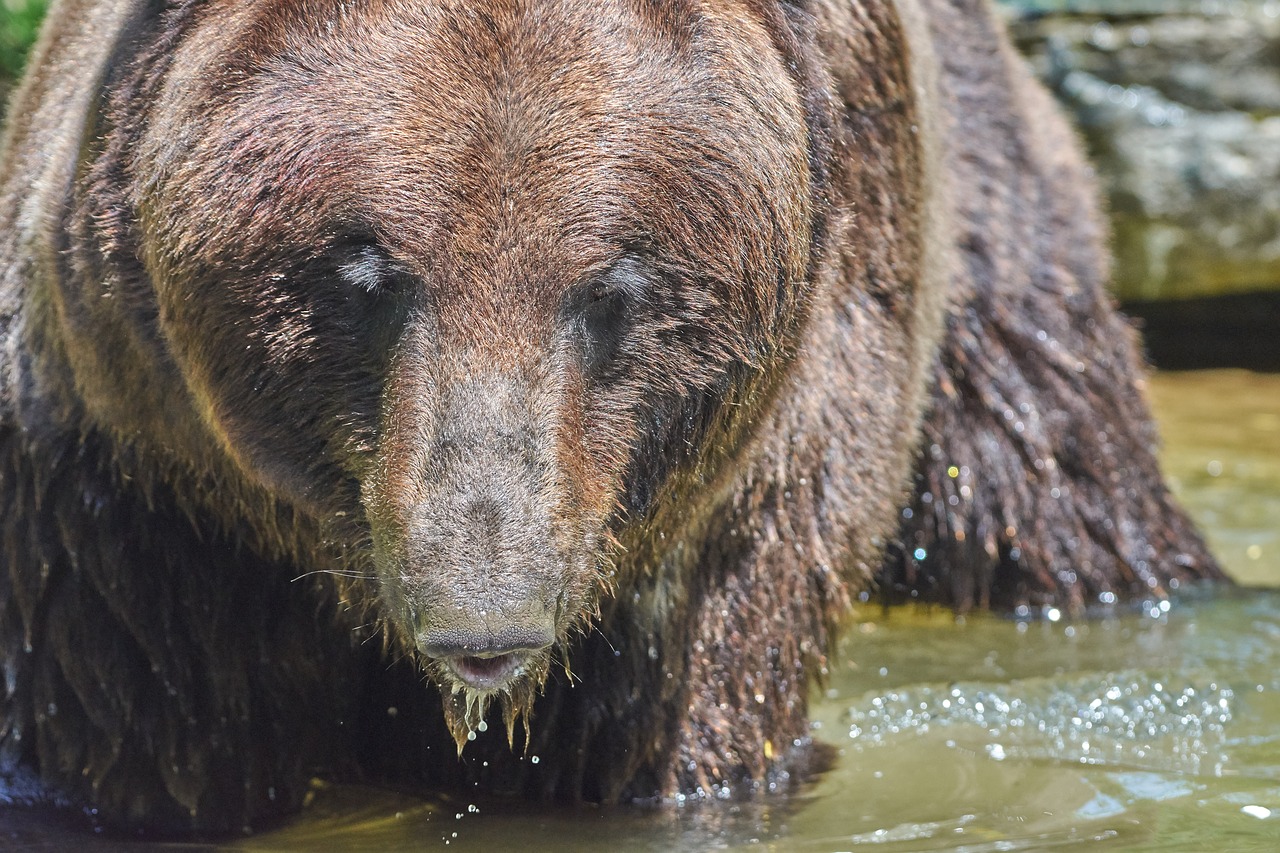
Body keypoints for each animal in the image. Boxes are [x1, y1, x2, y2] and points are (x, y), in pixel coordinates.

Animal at [0, 0, 1218, 835]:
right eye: (364, 274)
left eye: (611, 289)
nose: (483, 616)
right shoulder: (141, 492)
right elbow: (136, 732)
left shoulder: (707, 533)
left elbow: (657, 738)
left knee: (1050, 480)